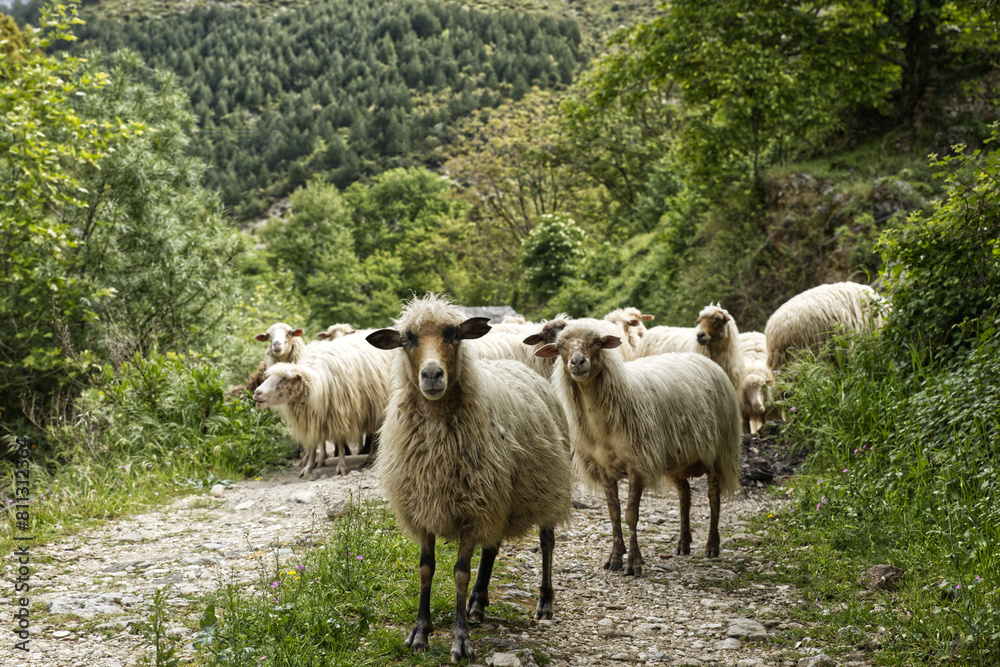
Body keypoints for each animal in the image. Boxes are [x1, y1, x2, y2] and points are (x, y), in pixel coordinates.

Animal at [252, 334, 392, 477]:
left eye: (286, 378)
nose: (257, 392)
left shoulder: (339, 413)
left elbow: (339, 441)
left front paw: (341, 467)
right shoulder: (311, 416)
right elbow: (313, 443)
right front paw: (308, 467)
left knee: (375, 434)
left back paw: (370, 459)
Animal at [366, 294, 573, 662]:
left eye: (453, 334)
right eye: (407, 339)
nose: (432, 374)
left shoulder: (472, 509)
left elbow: (460, 572)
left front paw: (460, 639)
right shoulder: (425, 506)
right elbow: (426, 568)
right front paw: (420, 631)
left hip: (547, 483)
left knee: (547, 541)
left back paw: (544, 602)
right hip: (500, 496)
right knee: (492, 547)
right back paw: (478, 602)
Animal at [536, 318, 742, 574]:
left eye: (597, 342)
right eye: (560, 346)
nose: (578, 362)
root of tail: (707, 361)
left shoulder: (638, 465)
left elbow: (631, 514)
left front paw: (633, 562)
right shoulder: (605, 469)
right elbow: (614, 513)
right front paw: (615, 557)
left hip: (717, 451)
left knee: (714, 496)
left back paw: (712, 545)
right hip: (675, 459)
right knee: (685, 494)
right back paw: (683, 543)